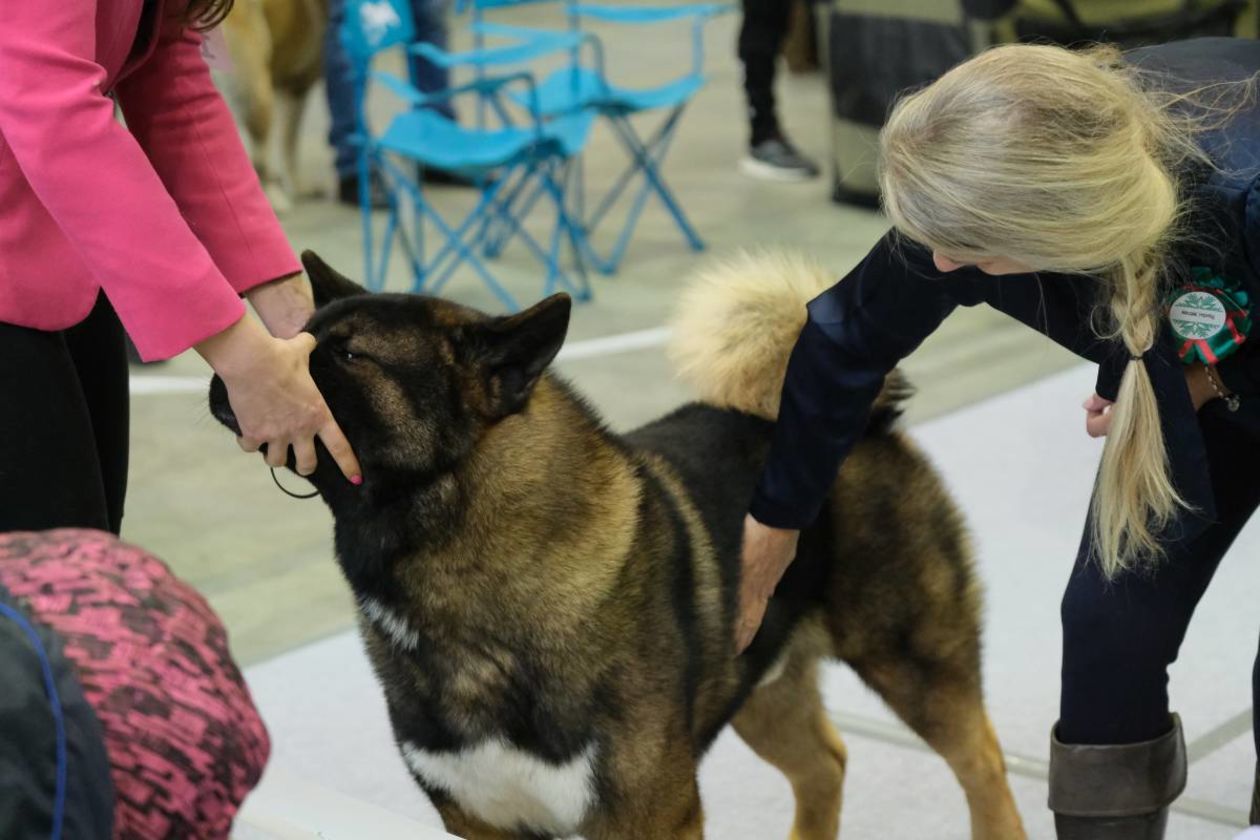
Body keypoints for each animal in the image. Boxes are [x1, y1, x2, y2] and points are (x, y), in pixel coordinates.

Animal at [211, 251, 1028, 840]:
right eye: (296, 334)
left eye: (349, 356)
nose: (234, 378)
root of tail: (863, 419)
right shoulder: (483, 821)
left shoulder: (648, 814)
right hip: (759, 684)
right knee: (824, 766)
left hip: (915, 661)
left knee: (982, 765)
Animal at [221, 0, 330, 214]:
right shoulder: (295, 91)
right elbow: (289, 143)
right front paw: (297, 186)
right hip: (257, 92)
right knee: (260, 158)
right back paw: (275, 199)